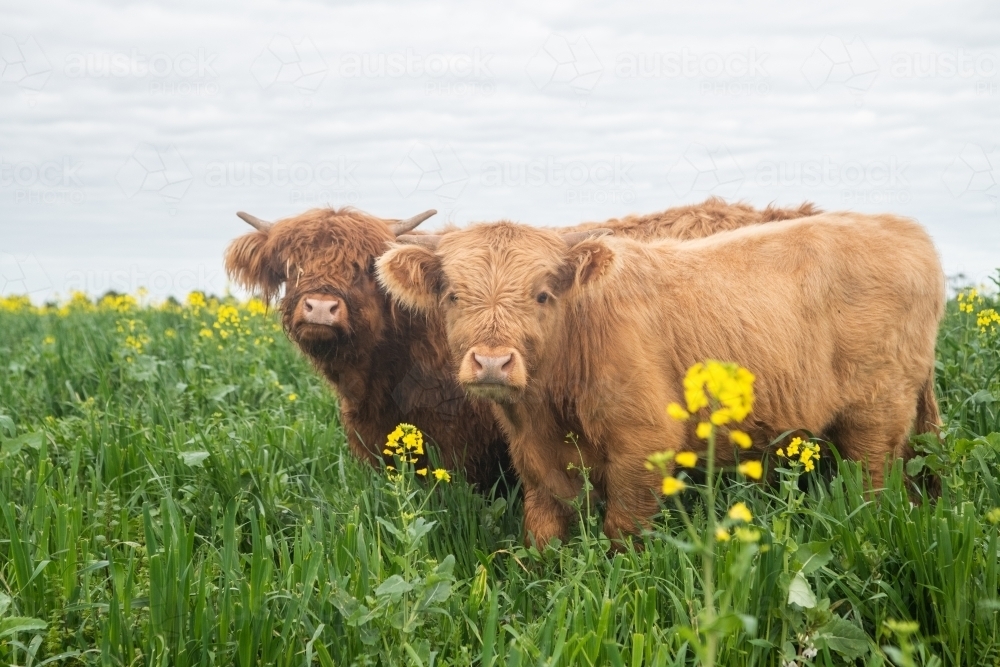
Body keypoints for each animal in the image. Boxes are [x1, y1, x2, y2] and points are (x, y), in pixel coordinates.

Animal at [376, 211, 944, 544]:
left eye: (542, 294)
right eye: (453, 295)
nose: (492, 362)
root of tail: (902, 227)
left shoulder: (643, 442)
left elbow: (623, 526)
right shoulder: (534, 455)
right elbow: (542, 528)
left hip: (877, 412)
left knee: (872, 485)